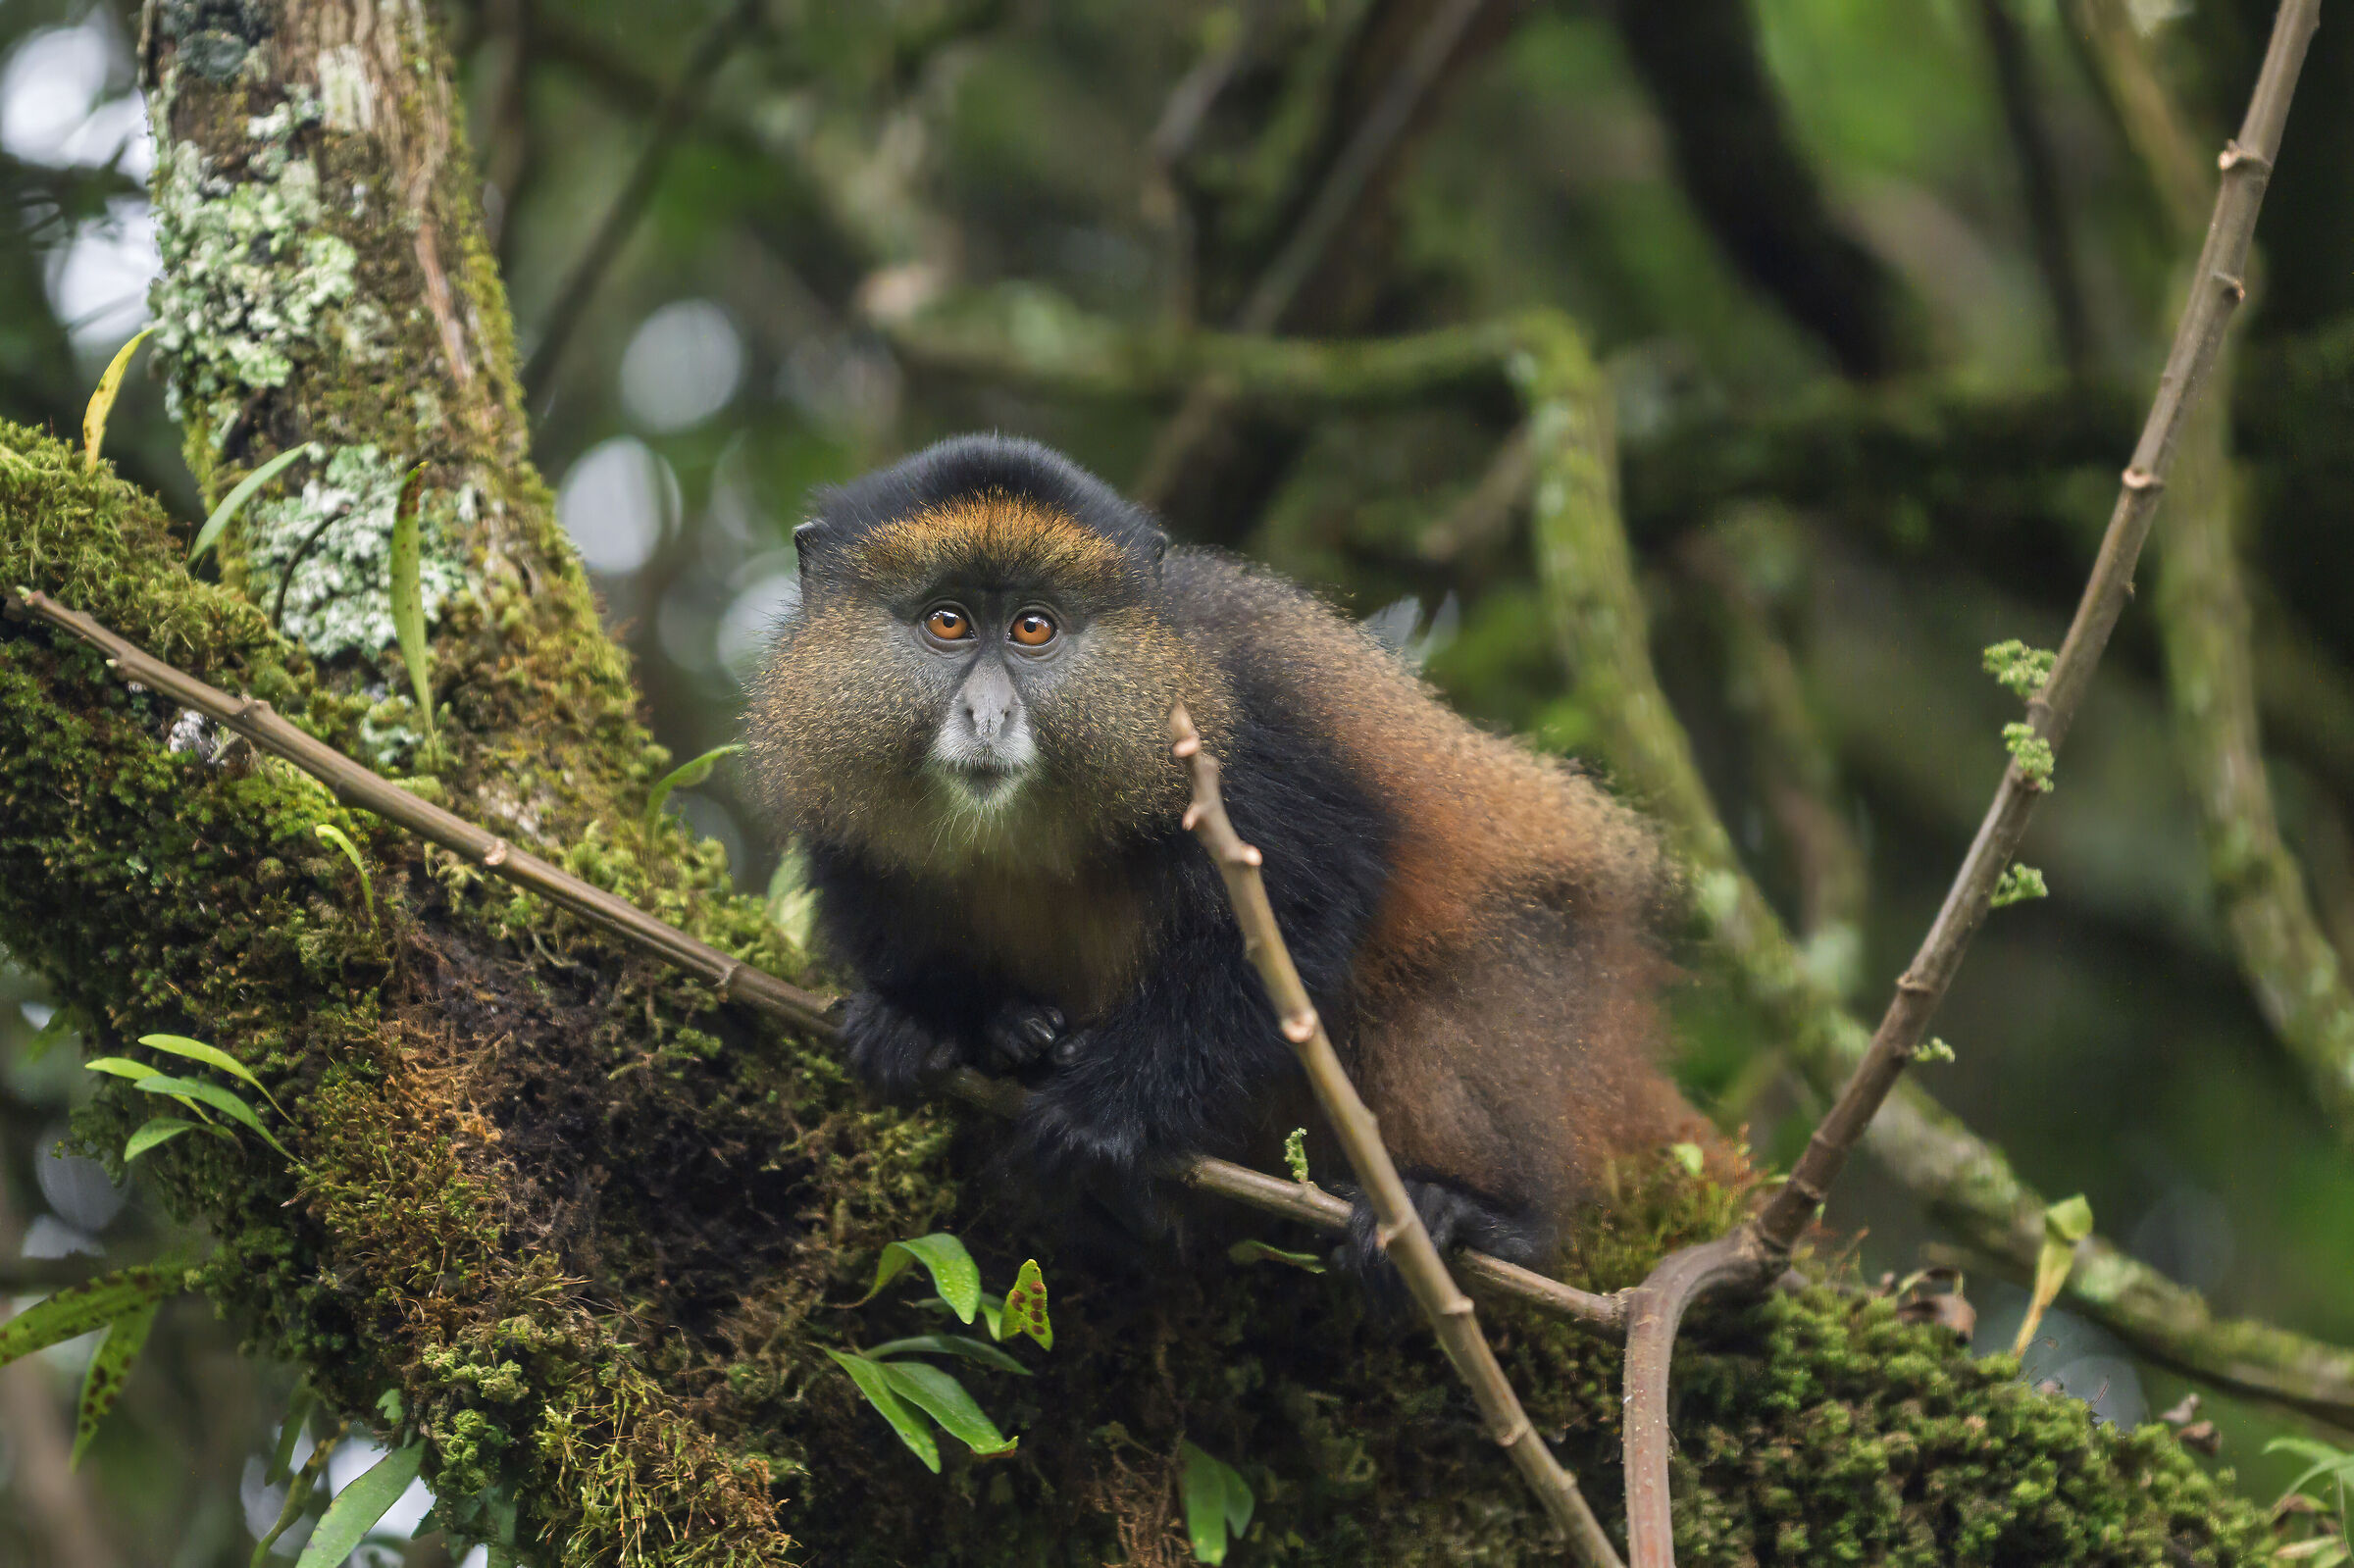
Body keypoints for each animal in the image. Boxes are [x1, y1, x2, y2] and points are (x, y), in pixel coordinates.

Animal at [746, 433, 1706, 1277]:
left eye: (1032, 628)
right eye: (947, 621)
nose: (988, 714)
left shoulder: (1240, 722)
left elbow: (1311, 898)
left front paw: (1105, 1109)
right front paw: (944, 1022)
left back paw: (1477, 1214)